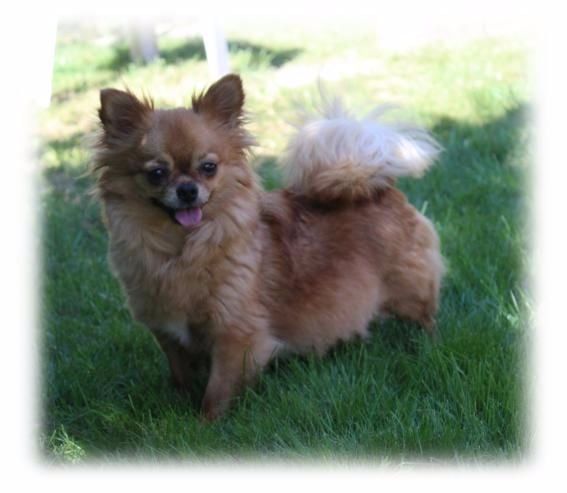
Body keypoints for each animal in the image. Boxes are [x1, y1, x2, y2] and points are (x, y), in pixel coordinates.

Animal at [92, 74, 443, 419]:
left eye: (209, 167)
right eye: (156, 173)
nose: (188, 190)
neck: (181, 250)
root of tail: (377, 186)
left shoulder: (236, 335)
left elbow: (217, 390)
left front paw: (205, 424)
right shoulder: (168, 333)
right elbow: (181, 375)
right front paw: (178, 406)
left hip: (408, 289)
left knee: (425, 314)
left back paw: (428, 342)